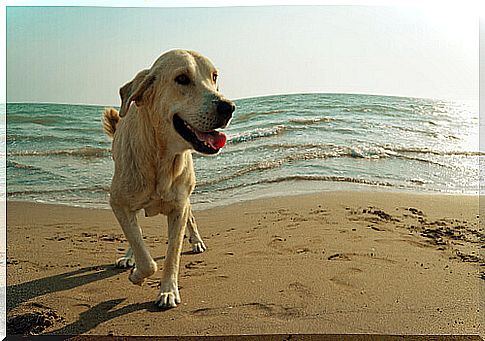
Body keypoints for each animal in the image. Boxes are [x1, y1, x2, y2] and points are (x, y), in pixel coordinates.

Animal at [103, 49, 235, 308]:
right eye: (182, 79)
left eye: (214, 76)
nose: (228, 107)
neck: (162, 159)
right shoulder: (118, 202)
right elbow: (144, 254)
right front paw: (136, 272)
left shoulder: (179, 207)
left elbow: (172, 254)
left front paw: (168, 291)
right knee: (135, 231)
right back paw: (129, 256)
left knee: (190, 217)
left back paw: (196, 241)